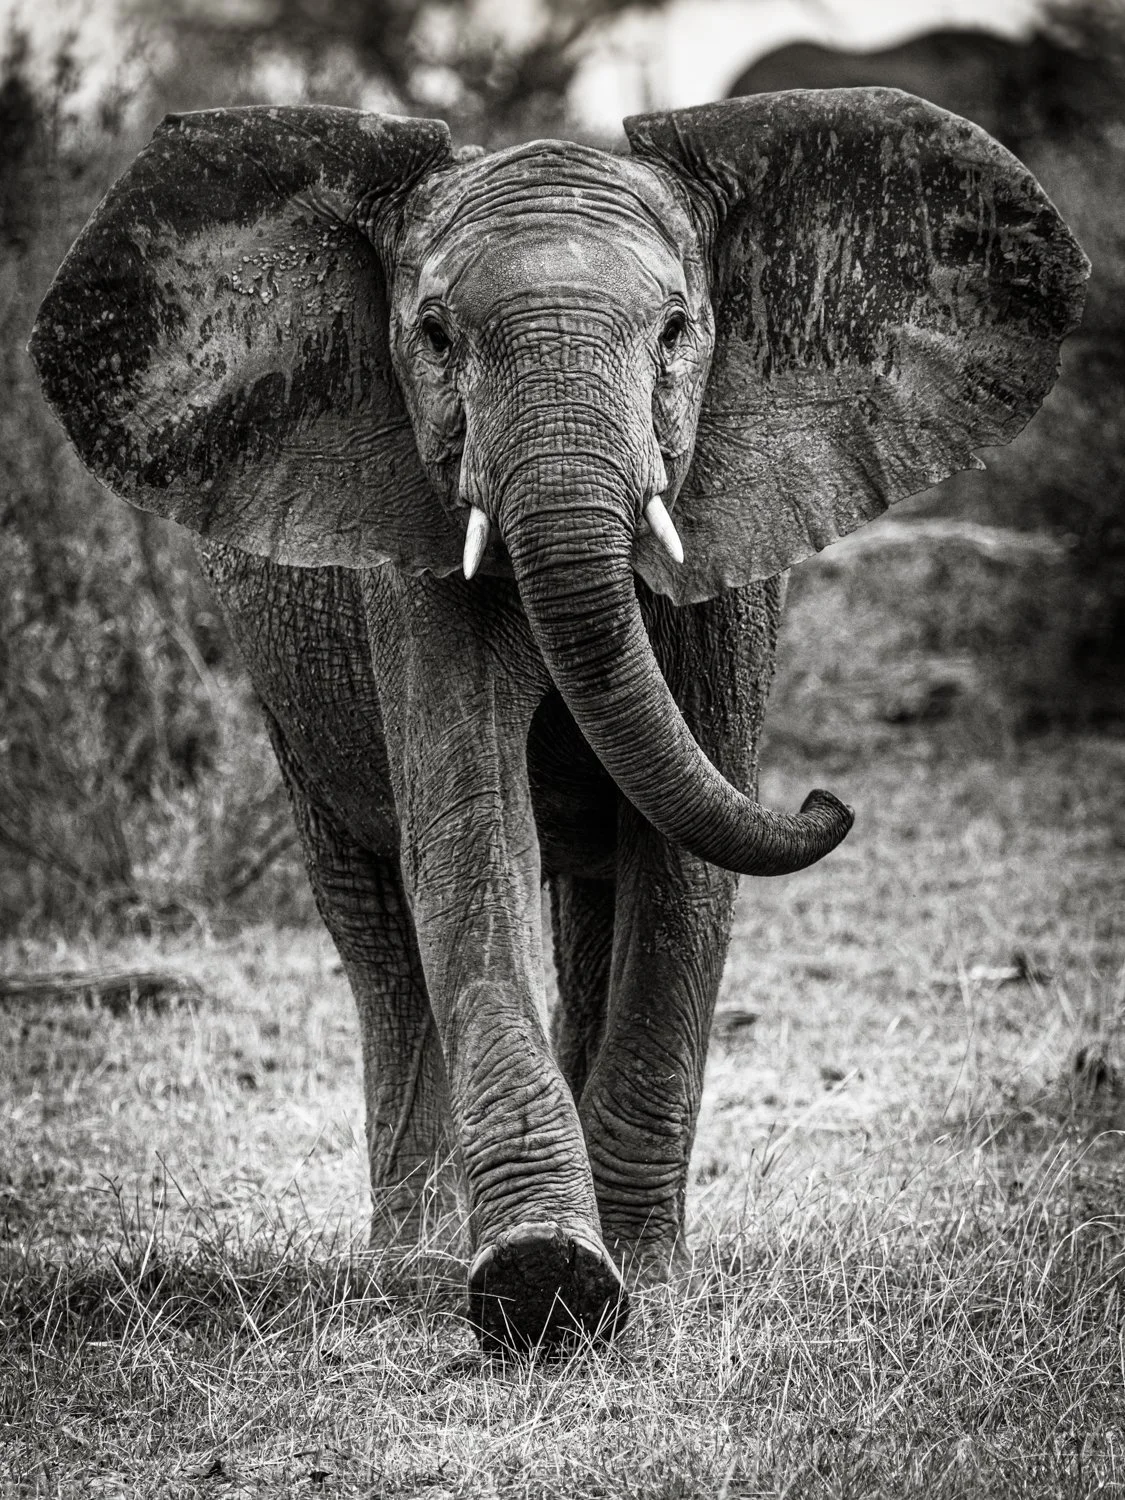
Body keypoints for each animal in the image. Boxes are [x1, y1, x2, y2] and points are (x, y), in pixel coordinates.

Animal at [31, 89, 1086, 1352]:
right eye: (435, 337)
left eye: (678, 331)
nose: (827, 799)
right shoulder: (410, 534)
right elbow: (471, 834)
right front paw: (542, 1280)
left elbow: (679, 863)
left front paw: (640, 1273)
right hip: (283, 685)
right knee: (376, 930)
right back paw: (416, 1254)